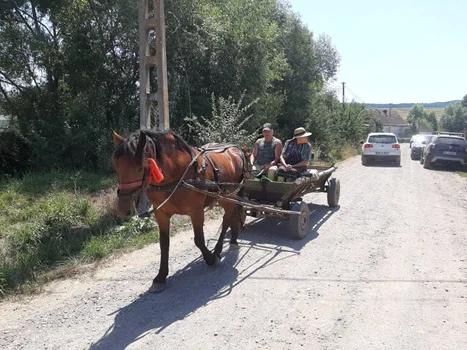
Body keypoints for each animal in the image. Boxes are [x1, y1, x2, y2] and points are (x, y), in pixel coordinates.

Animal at [112, 129, 249, 292]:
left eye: (139, 168)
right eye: (117, 167)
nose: (123, 209)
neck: (178, 174)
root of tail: (236, 149)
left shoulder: (196, 211)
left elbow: (199, 240)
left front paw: (211, 259)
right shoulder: (161, 214)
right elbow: (164, 244)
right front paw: (160, 277)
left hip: (228, 196)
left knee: (227, 219)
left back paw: (218, 249)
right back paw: (233, 239)